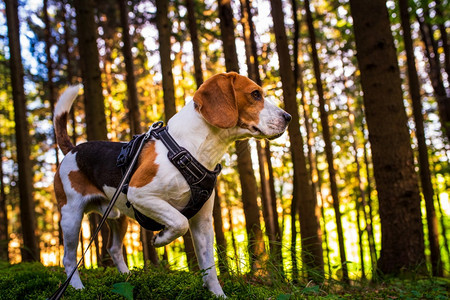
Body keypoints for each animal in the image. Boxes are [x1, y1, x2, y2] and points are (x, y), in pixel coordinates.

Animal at [53, 71, 292, 296]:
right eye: (255, 94)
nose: (288, 117)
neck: (192, 149)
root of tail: (73, 150)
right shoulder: (140, 194)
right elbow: (179, 222)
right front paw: (161, 239)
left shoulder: (203, 221)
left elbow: (209, 266)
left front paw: (217, 294)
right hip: (71, 216)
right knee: (69, 258)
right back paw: (77, 288)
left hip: (117, 216)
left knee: (113, 249)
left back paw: (127, 277)